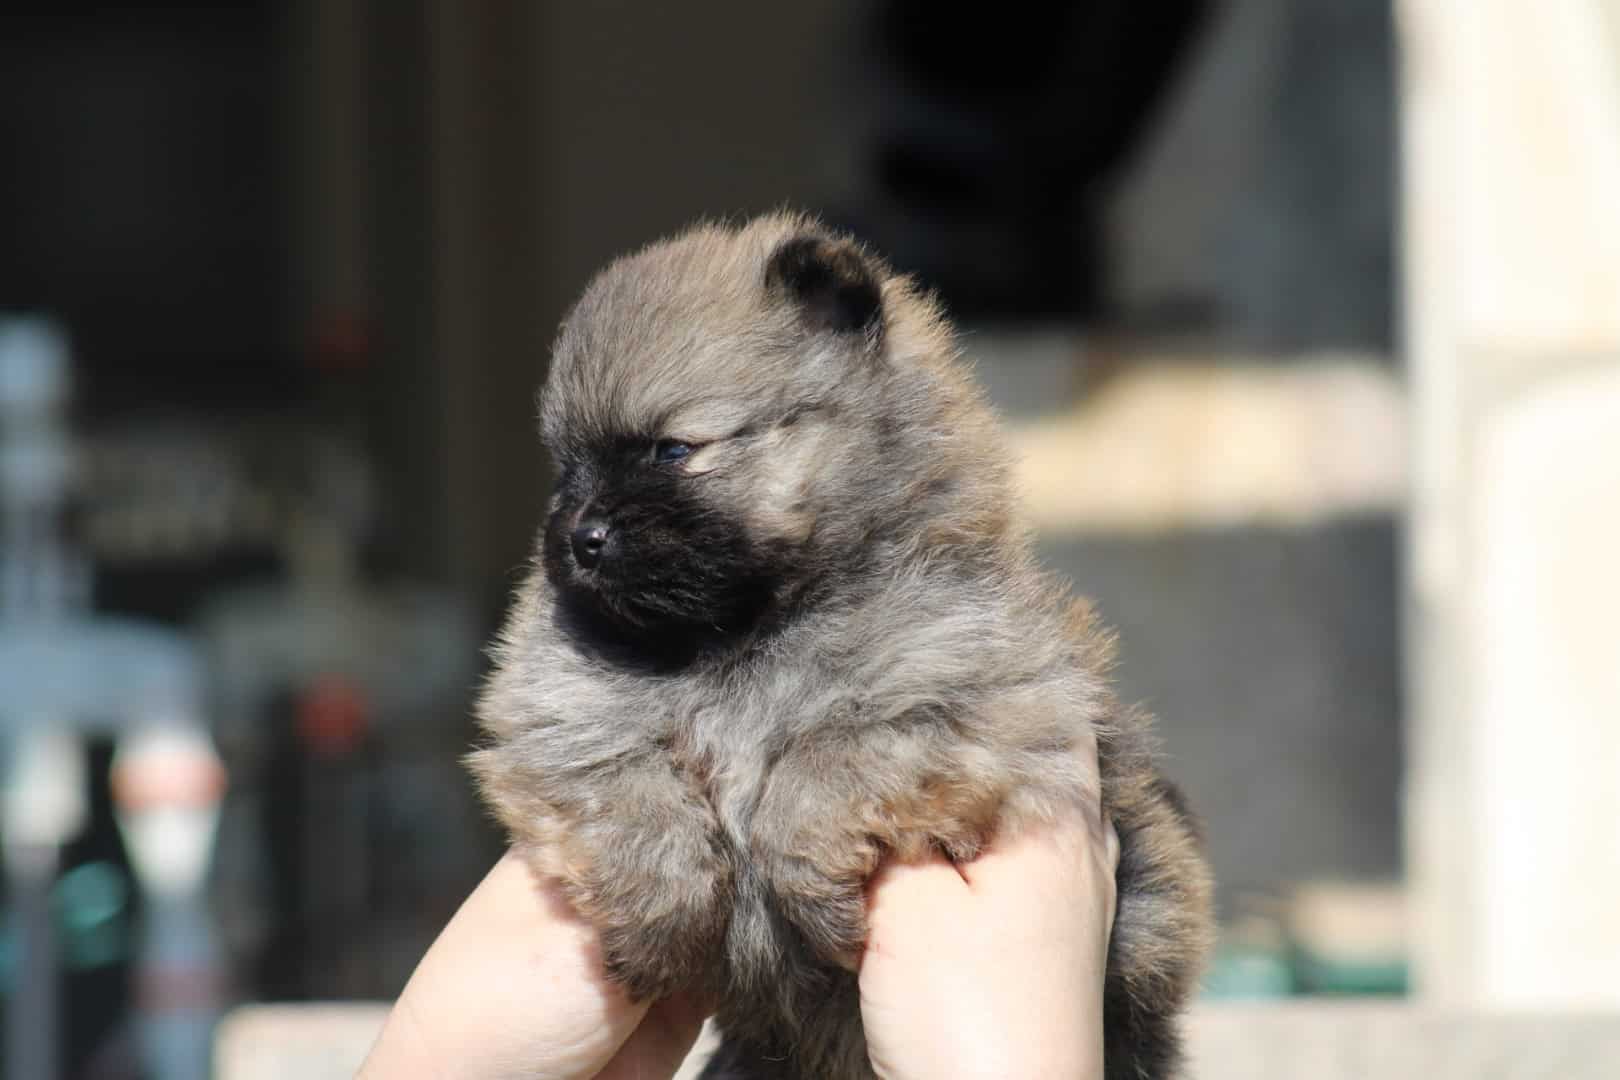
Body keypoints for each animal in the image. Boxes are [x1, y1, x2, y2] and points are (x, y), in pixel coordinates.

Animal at [469, 213, 1218, 1080]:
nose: (579, 540)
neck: (742, 632)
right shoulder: (560, 716)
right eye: (566, 469)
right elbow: (633, 795)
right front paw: (665, 914)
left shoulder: (963, 708)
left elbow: (820, 770)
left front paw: (808, 884)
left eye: (672, 450)